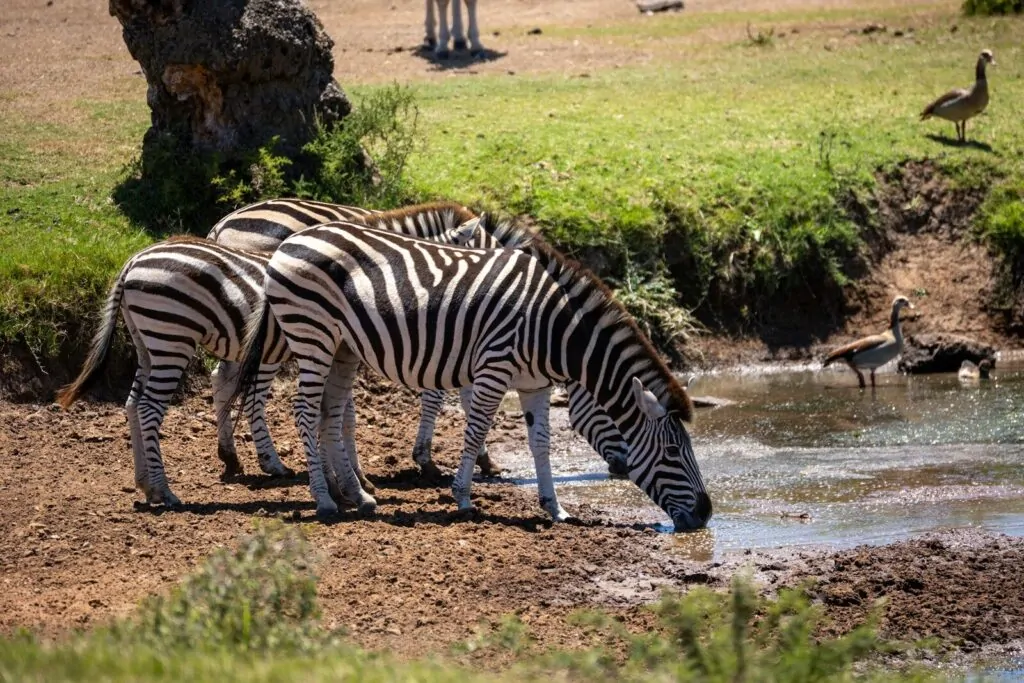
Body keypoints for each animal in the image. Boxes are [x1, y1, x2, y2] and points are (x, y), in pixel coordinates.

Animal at [54, 215, 480, 508]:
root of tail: (134, 260)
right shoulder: (344, 351)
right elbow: (345, 418)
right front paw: (355, 481)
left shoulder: (338, 353)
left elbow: (334, 415)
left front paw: (343, 480)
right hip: (172, 337)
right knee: (148, 409)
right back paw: (166, 490)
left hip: (148, 344)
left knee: (132, 404)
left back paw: (149, 482)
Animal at [208, 199, 630, 480]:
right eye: (610, 406)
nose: (623, 468)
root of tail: (224, 221)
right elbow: (439, 395)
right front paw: (431, 459)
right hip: (278, 336)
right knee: (251, 388)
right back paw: (270, 461)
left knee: (224, 379)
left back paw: (232, 456)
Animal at [230, 218, 713, 530]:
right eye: (673, 453)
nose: (707, 514)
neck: (554, 327)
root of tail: (289, 242)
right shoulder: (493, 366)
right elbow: (476, 427)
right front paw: (462, 495)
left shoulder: (535, 385)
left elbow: (541, 443)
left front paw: (554, 508)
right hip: (311, 335)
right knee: (304, 411)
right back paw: (324, 500)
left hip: (343, 347)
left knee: (330, 412)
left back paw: (358, 495)